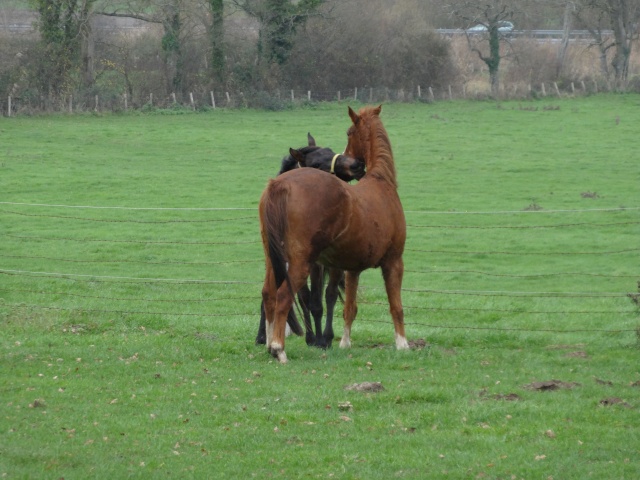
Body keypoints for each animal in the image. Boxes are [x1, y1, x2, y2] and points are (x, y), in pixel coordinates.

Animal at [256, 135, 364, 348]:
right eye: (316, 164)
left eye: (331, 151)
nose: (356, 164)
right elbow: (303, 297)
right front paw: (310, 337)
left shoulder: (315, 265)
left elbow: (319, 299)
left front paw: (320, 339)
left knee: (330, 294)